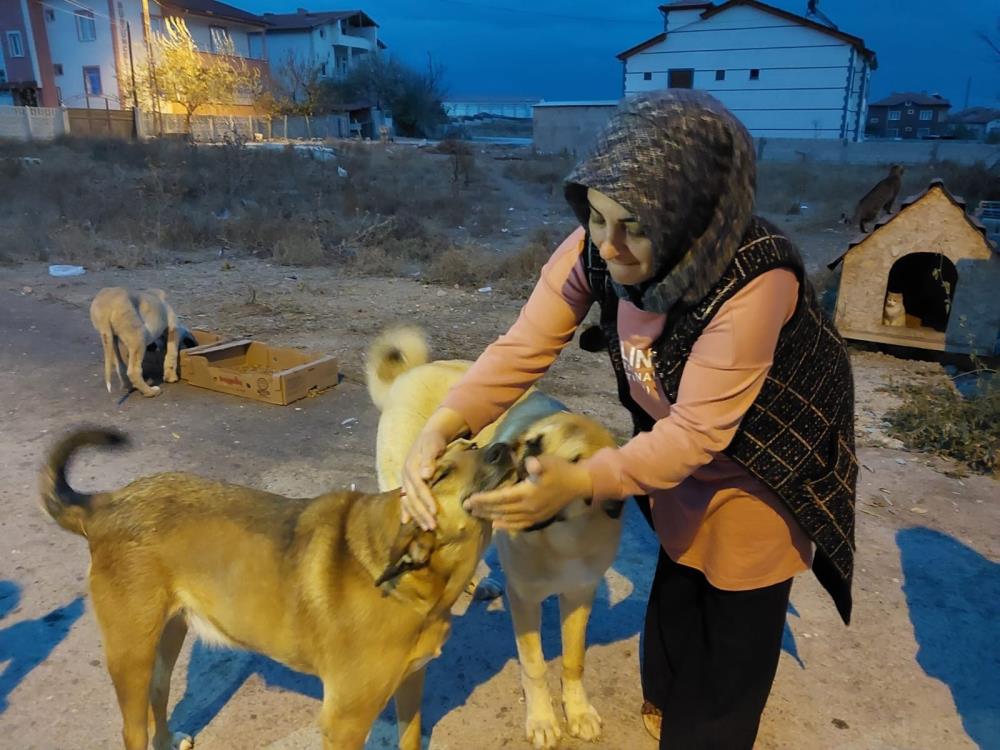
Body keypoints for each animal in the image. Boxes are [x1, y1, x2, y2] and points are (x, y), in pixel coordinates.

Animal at [38, 426, 516, 748]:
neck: (420, 584)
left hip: (168, 634)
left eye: (473, 447)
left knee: (159, 690)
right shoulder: (344, 721)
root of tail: (104, 504)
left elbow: (411, 737)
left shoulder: (411, 685)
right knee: (132, 729)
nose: (504, 448)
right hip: (130, 652)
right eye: (441, 475)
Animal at [368, 328, 620, 750]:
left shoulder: (580, 594)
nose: (515, 471)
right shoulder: (525, 599)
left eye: (576, 465)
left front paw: (578, 710)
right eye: (533, 446)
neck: (563, 540)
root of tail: (410, 373)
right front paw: (543, 720)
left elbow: (574, 660)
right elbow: (535, 666)